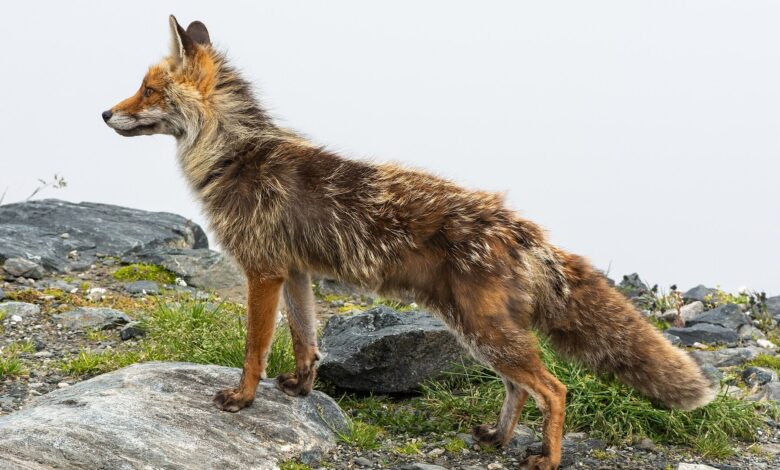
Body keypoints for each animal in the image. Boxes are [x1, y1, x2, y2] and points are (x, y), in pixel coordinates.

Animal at [103, 16, 716, 469]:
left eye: (149, 90)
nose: (104, 112)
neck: (234, 156)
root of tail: (523, 228)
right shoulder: (294, 272)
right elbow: (305, 339)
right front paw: (300, 387)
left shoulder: (263, 270)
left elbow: (255, 348)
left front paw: (243, 398)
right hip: (480, 333)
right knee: (522, 388)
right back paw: (498, 438)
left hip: (484, 332)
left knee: (556, 388)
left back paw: (547, 457)